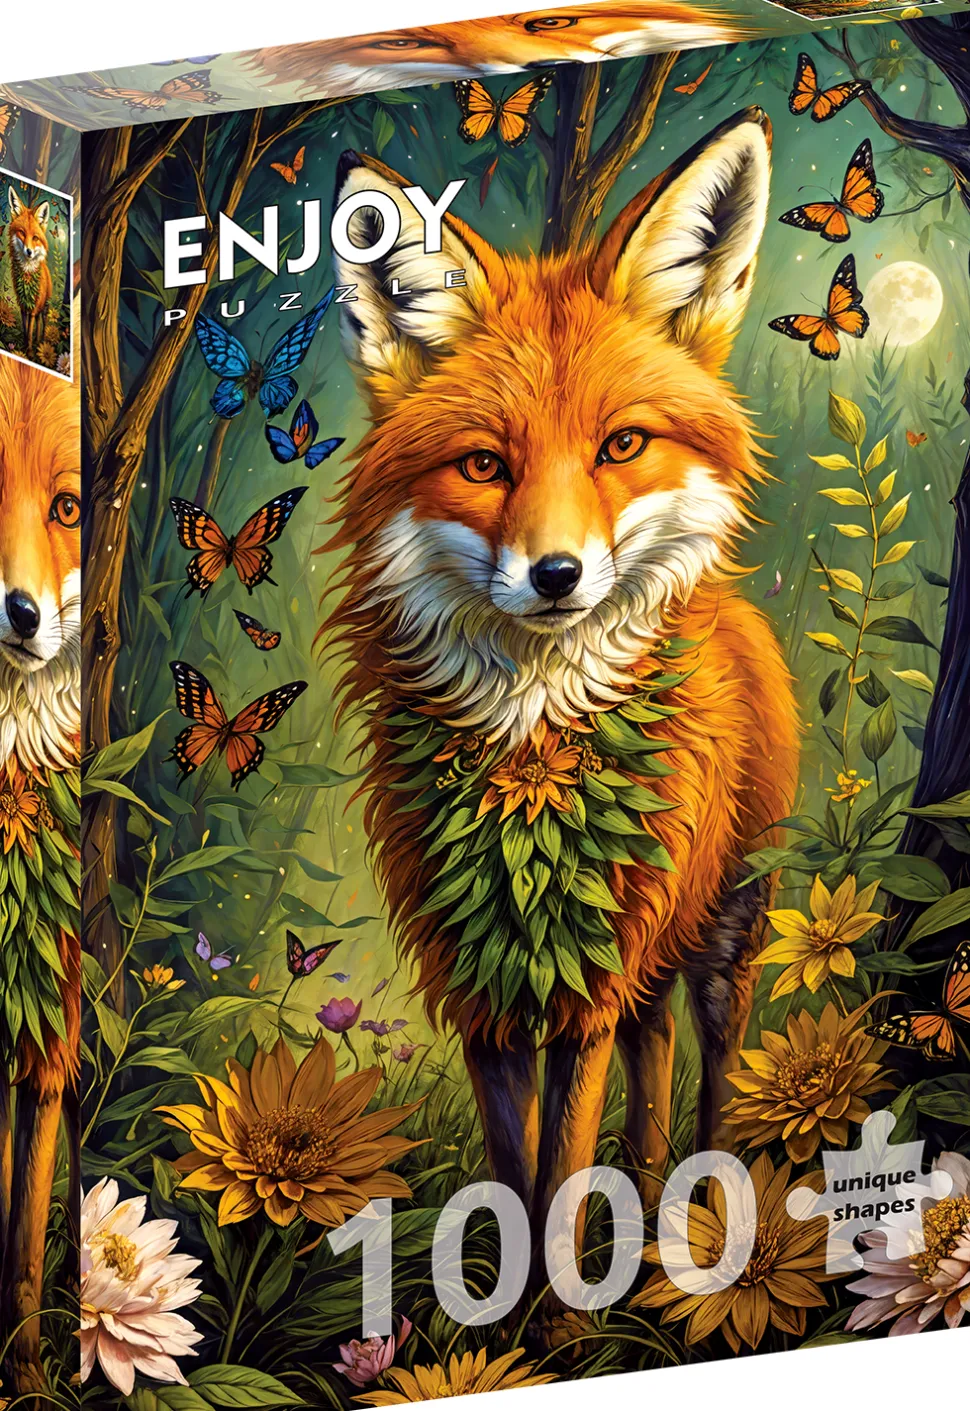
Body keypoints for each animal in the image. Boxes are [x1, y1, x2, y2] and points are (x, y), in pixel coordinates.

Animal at [5, 186, 53, 360]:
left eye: (35, 238)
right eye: (22, 233)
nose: (29, 251)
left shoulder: (33, 308)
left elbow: (31, 329)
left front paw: (30, 351)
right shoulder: (23, 305)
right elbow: (27, 330)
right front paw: (25, 347)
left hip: (44, 306)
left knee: (42, 323)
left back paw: (41, 341)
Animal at [324, 106, 798, 1255]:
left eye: (620, 445)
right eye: (484, 465)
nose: (555, 575)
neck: (532, 770)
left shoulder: (589, 978)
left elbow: (561, 1187)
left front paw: (559, 1297)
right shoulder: (484, 983)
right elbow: (519, 1177)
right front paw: (509, 1304)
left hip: (722, 929)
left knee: (712, 1065)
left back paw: (707, 1217)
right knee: (653, 1060)